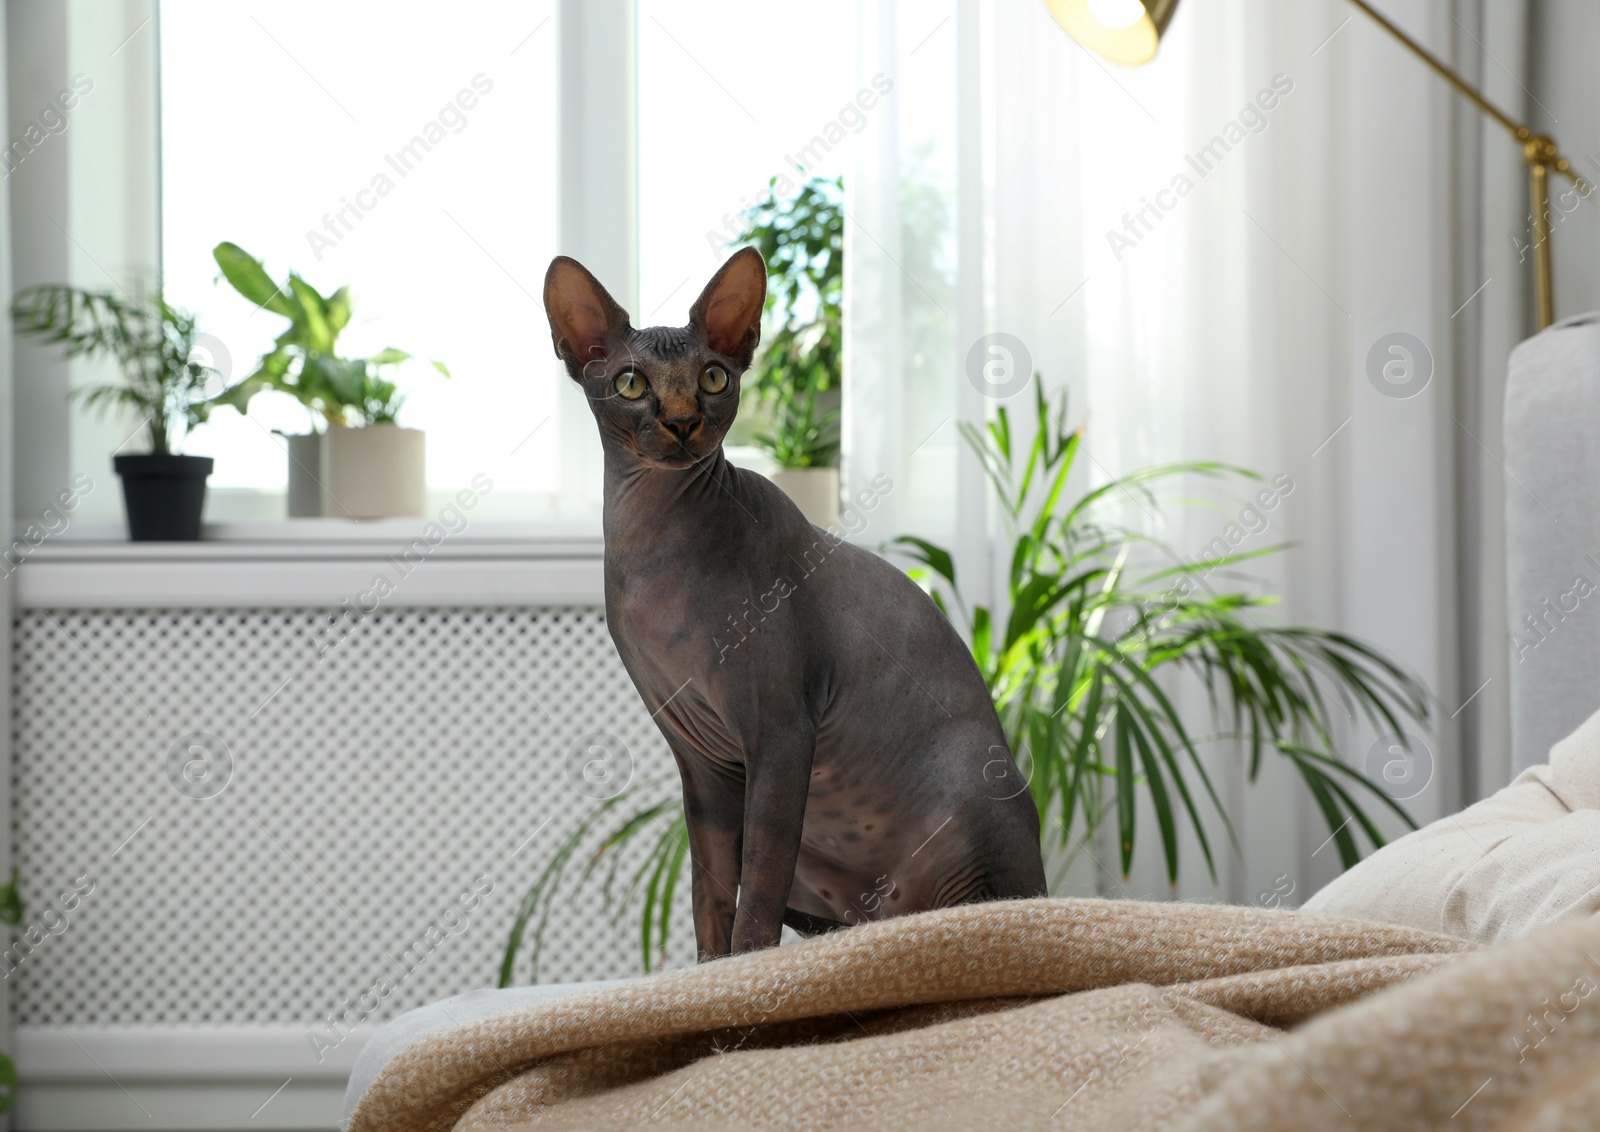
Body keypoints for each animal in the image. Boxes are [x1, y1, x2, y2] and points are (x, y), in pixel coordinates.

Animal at [547, 247, 1049, 952]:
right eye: (630, 384)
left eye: (712, 377)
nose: (682, 422)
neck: (653, 546)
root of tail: (891, 916)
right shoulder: (701, 763)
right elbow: (710, 891)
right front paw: (708, 971)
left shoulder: (780, 734)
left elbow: (756, 887)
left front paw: (748, 969)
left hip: (975, 795)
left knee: (993, 908)